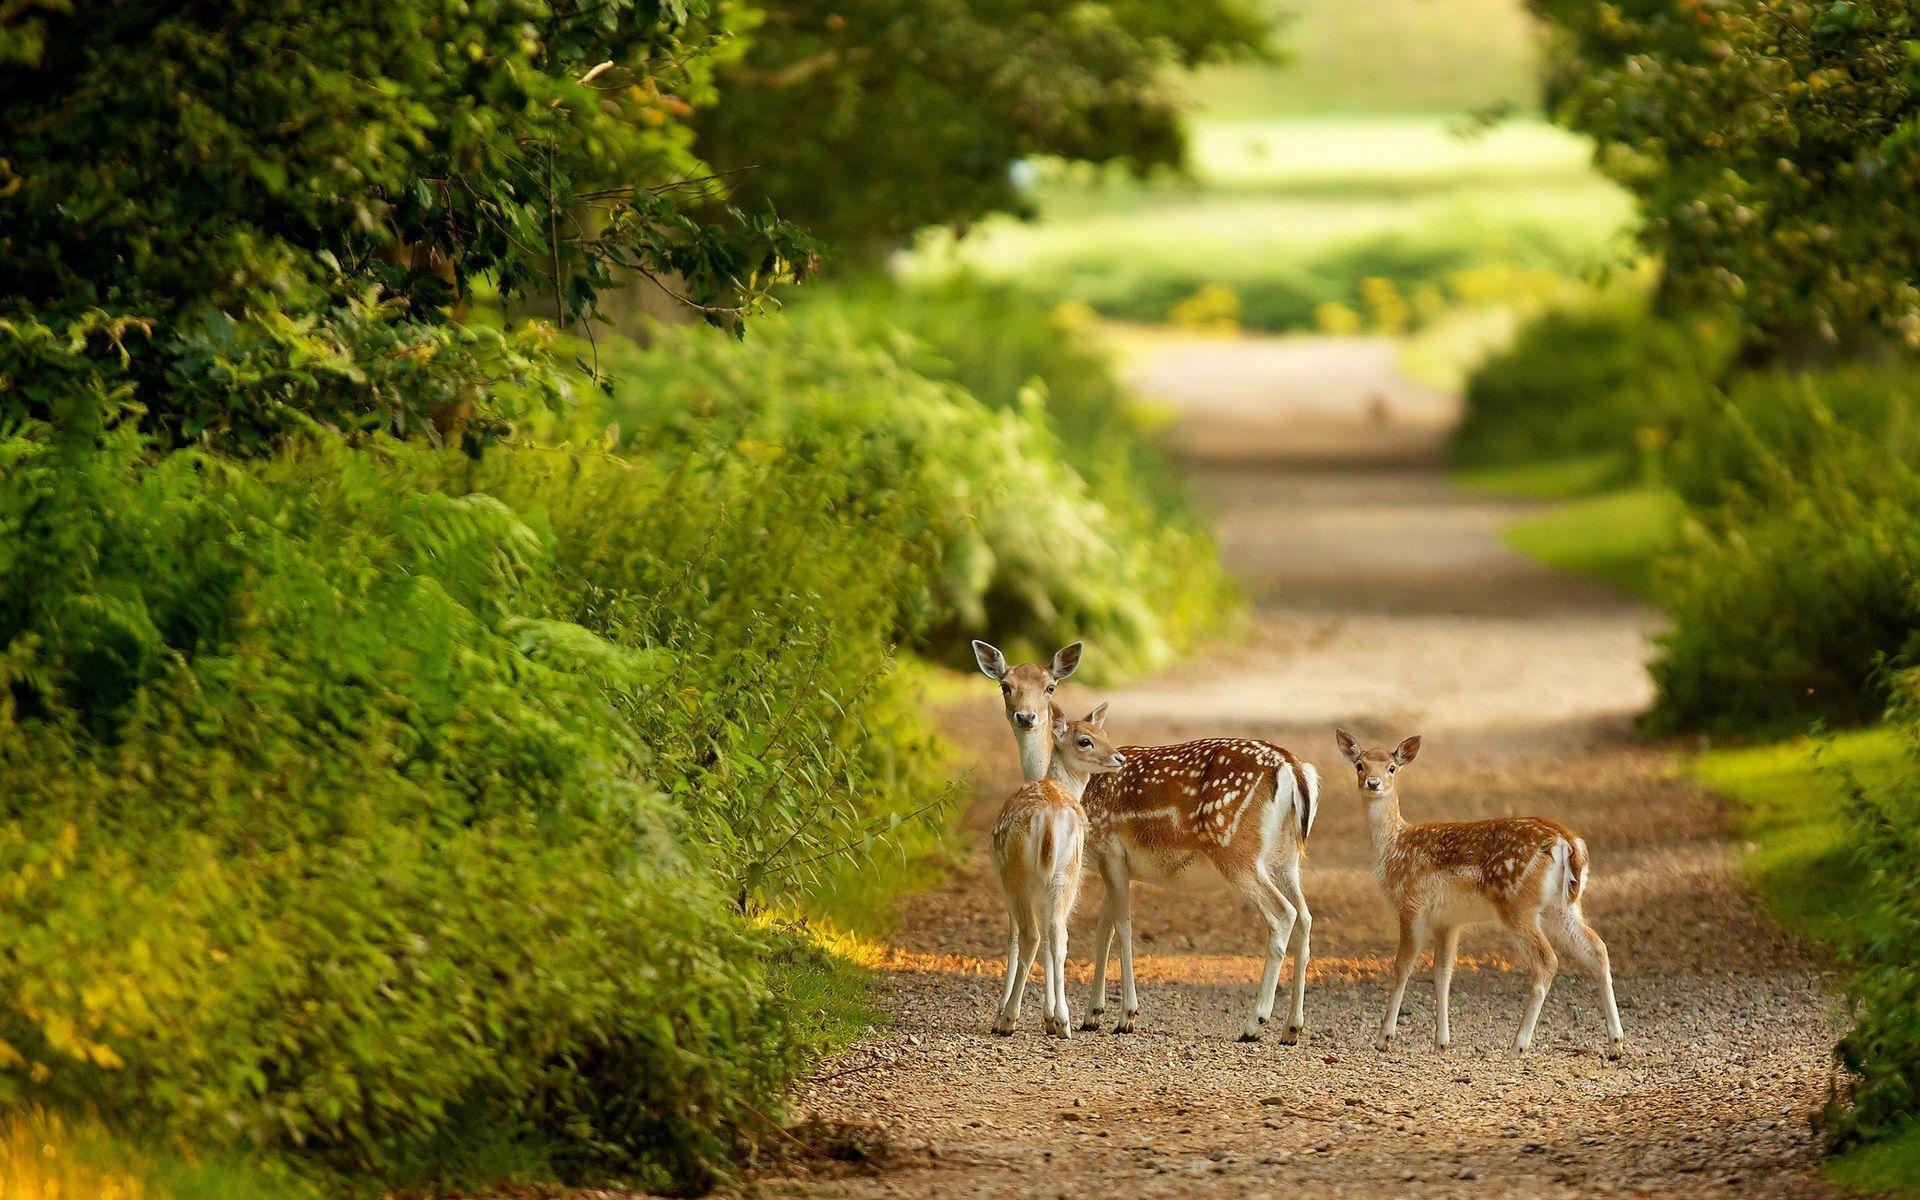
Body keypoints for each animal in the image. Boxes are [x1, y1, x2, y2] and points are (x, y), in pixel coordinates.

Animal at [990, 704, 1128, 1037]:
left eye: (1104, 733)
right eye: (1086, 740)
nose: (1120, 758)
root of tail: (1049, 819)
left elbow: (1015, 938)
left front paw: (1007, 1014)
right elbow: (1053, 942)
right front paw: (1050, 1017)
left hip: (1017, 874)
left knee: (1031, 935)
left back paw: (1008, 1019)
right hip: (1067, 873)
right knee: (1058, 935)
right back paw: (1064, 1021)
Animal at [1334, 728, 1625, 1060]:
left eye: (1392, 768)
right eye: (1359, 765)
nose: (1373, 783)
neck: (1393, 846)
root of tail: (1568, 842)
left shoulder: (1411, 904)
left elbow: (1402, 966)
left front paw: (1384, 1037)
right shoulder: (1448, 920)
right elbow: (1442, 973)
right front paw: (1441, 1042)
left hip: (1516, 903)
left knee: (1546, 960)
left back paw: (1517, 1045)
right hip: (1563, 906)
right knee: (1597, 948)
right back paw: (1615, 1043)